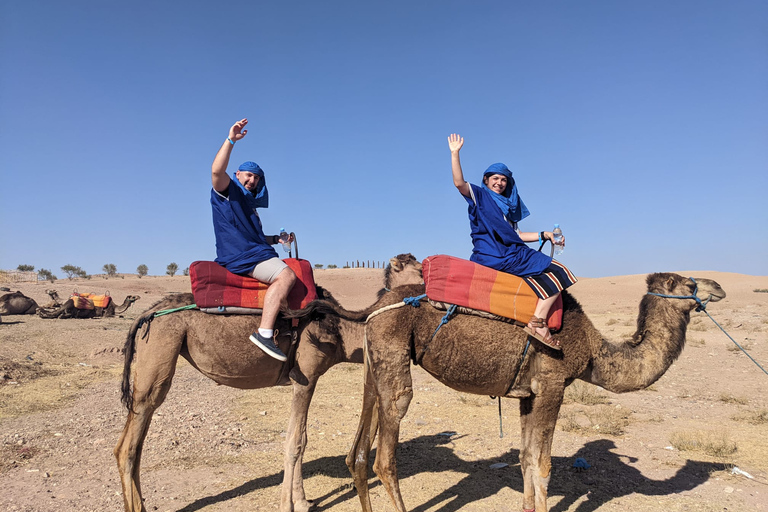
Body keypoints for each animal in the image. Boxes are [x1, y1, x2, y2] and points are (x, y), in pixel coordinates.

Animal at [115, 254, 426, 512]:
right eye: (421, 270)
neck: (339, 330)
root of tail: (148, 313)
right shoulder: (305, 377)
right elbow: (295, 441)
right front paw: (288, 505)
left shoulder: (306, 381)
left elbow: (303, 438)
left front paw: (302, 501)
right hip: (161, 348)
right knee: (128, 446)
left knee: (134, 444)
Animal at [326, 272, 728, 512]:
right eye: (686, 283)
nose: (718, 286)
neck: (593, 350)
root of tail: (376, 305)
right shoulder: (552, 384)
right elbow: (544, 463)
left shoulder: (528, 394)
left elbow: (525, 458)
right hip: (393, 354)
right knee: (385, 453)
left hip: (374, 362)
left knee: (357, 452)